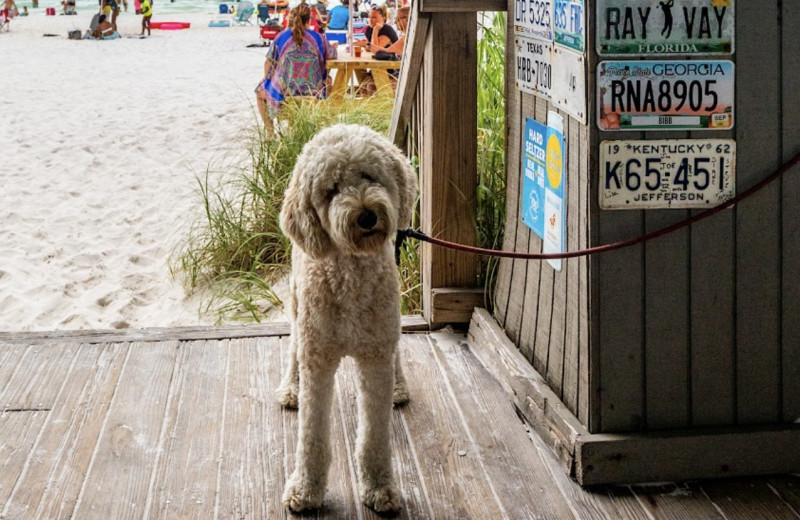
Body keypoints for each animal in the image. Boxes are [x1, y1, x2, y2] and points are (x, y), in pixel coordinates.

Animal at [276, 124, 416, 512]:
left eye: (369, 175)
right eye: (331, 190)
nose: (366, 215)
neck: (351, 274)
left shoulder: (376, 356)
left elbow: (374, 437)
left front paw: (380, 487)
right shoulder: (318, 359)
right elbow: (312, 437)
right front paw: (306, 489)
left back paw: (400, 385)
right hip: (298, 304)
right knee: (293, 345)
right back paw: (290, 387)